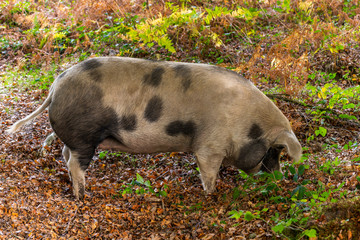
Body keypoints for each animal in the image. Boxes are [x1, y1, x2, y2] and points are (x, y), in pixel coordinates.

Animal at [7, 56, 302, 199]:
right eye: (276, 150)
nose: (280, 177)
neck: (246, 123)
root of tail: (56, 86)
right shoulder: (209, 146)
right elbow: (208, 173)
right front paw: (211, 195)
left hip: (77, 138)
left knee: (65, 155)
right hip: (84, 136)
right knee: (74, 163)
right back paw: (83, 196)